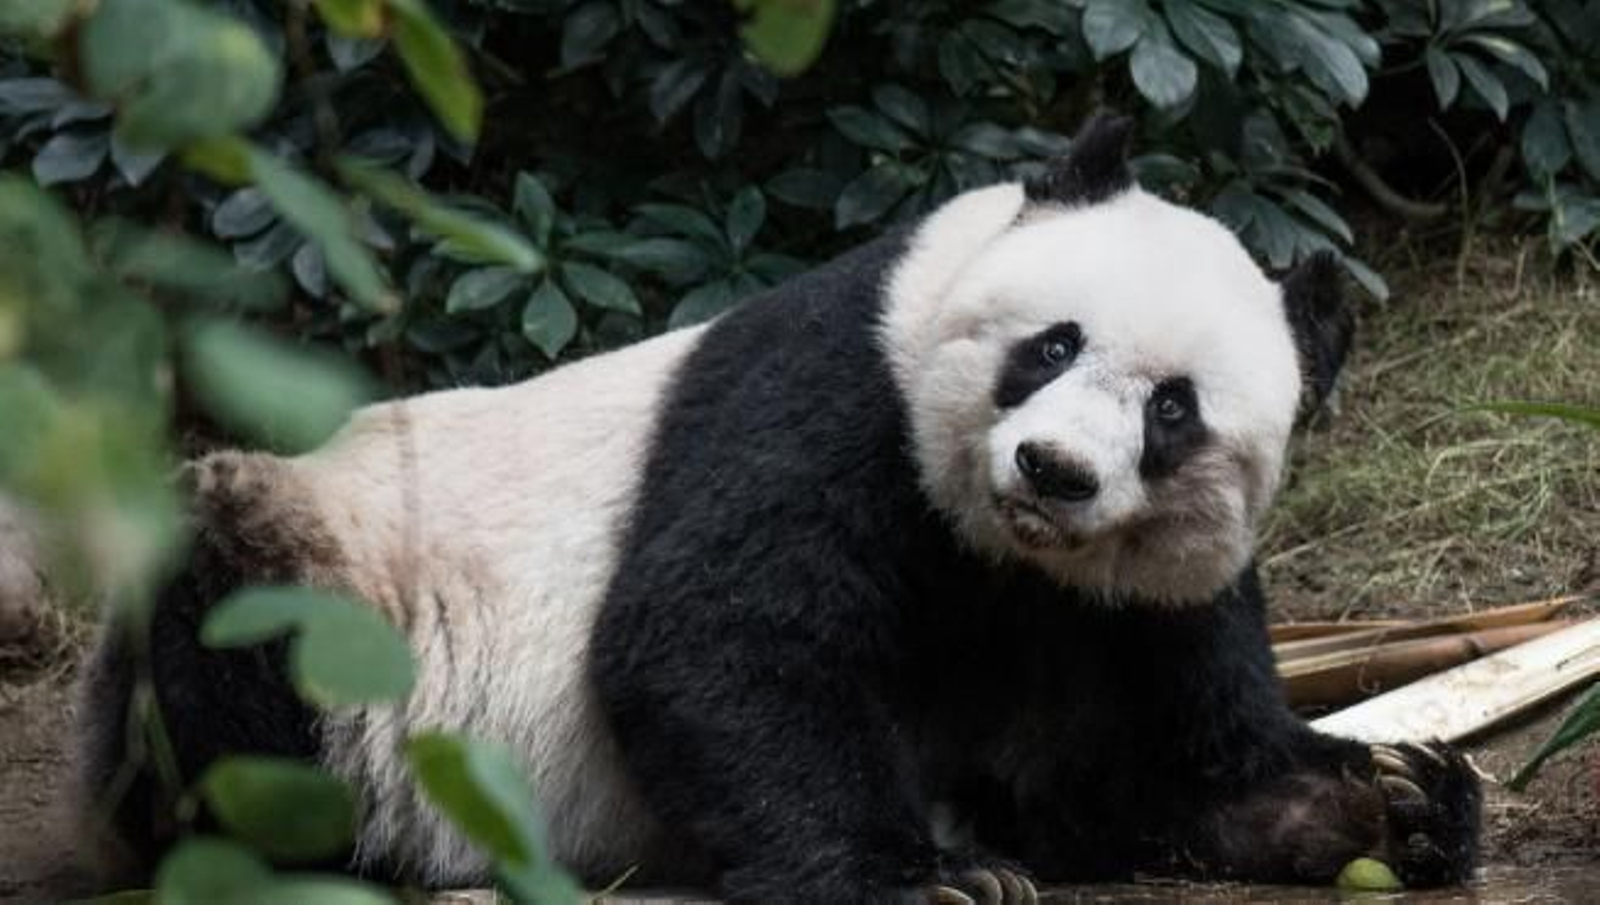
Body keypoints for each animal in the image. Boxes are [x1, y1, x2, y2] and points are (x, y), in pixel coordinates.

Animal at [78, 115, 1481, 903]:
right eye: (1049, 346)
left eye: (1173, 412)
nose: (1054, 471)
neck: (1002, 554)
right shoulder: (832, 397)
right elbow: (719, 635)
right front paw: (929, 878)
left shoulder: (1125, 596)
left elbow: (1147, 750)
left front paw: (1388, 795)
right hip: (331, 572)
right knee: (231, 637)